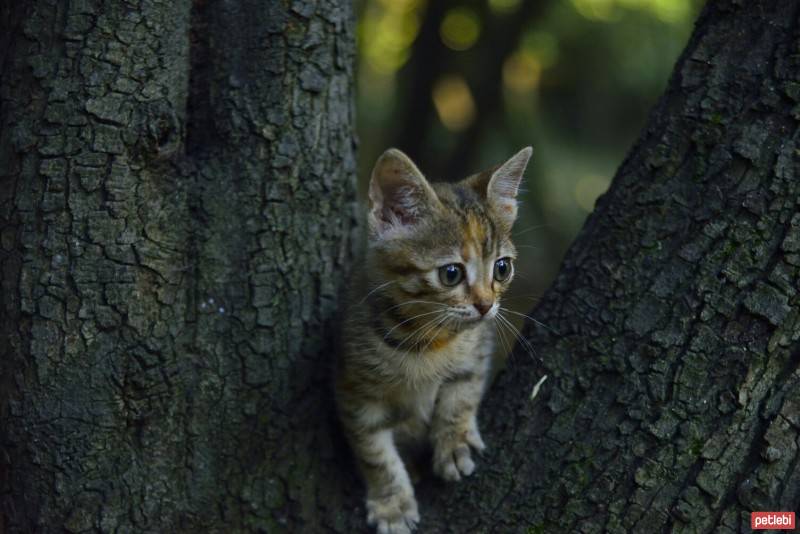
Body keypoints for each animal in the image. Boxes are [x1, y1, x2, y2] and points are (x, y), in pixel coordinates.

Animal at [336, 148, 532, 534]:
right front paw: (392, 503)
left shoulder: (479, 345)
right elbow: (373, 450)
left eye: (502, 268)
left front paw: (453, 444)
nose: (486, 305)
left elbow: (462, 391)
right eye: (451, 273)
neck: (426, 341)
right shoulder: (353, 388)